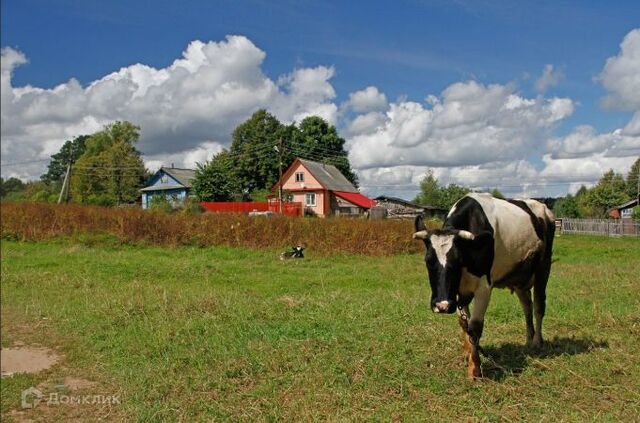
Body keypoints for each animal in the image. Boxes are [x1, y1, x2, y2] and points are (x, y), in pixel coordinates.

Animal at [416, 194, 556, 380]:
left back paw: (536, 341)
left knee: (539, 306)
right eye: (428, 261)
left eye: (457, 260)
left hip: (543, 268)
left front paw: (475, 369)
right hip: (520, 277)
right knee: (527, 306)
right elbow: (464, 324)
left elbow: (474, 326)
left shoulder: (484, 288)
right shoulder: (458, 291)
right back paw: (528, 338)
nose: (442, 305)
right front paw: (468, 354)